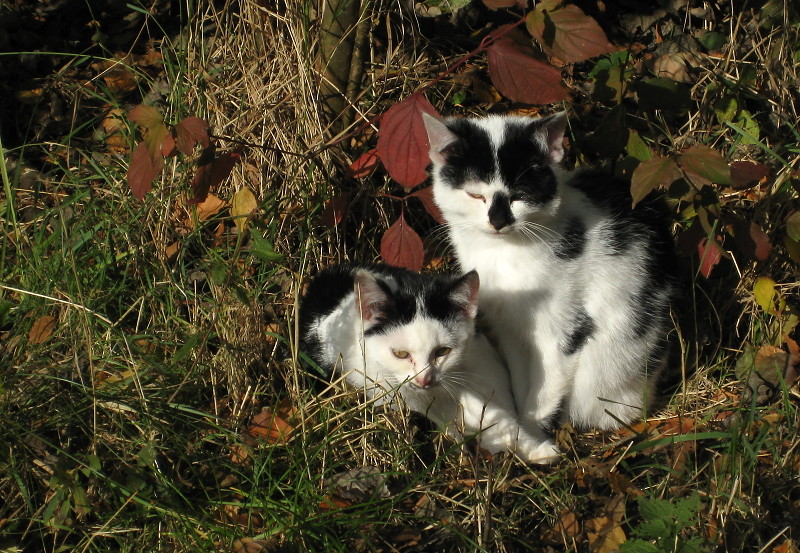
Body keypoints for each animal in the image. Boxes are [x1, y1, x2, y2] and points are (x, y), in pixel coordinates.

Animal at [422, 112, 680, 432]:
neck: (505, 252)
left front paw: (533, 426)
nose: (498, 221)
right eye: (475, 195)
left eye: (519, 196)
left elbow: (549, 380)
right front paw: (524, 422)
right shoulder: (511, 329)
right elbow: (522, 376)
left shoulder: (567, 326)